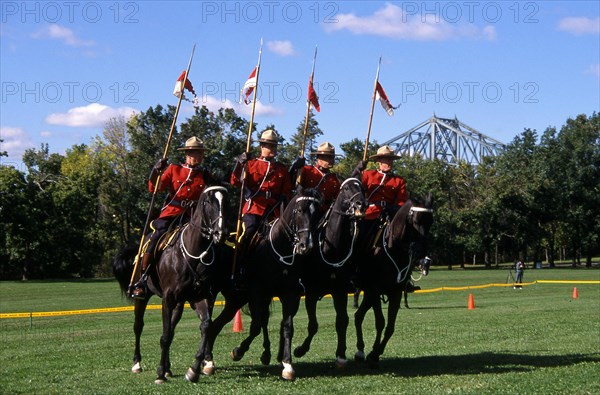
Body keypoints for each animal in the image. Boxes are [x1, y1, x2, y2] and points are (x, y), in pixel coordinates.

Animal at [113, 187, 231, 386]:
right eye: (208, 202)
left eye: (226, 202)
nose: (220, 233)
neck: (192, 253)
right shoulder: (168, 298)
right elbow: (165, 336)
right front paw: (160, 374)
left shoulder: (200, 296)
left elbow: (205, 326)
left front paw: (194, 370)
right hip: (142, 296)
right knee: (139, 326)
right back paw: (137, 363)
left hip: (179, 303)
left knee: (172, 328)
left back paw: (168, 368)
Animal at [190, 189, 326, 384]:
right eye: (300, 211)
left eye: (317, 214)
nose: (305, 245)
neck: (279, 248)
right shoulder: (258, 293)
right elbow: (255, 326)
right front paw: (238, 351)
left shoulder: (289, 294)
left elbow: (287, 327)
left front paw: (287, 365)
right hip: (213, 293)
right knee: (209, 323)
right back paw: (208, 361)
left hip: (235, 299)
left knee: (216, 325)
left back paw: (208, 361)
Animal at [292, 177, 364, 368]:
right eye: (346, 188)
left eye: (362, 187)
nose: (361, 204)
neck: (331, 247)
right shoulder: (310, 293)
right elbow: (313, 325)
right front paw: (300, 350)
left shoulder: (340, 291)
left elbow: (342, 321)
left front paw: (341, 354)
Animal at [354, 193, 434, 370]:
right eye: (416, 221)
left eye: (431, 221)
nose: (423, 252)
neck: (393, 248)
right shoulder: (375, 290)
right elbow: (380, 322)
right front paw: (373, 354)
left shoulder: (395, 292)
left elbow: (390, 327)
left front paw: (375, 353)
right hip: (369, 293)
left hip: (368, 295)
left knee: (358, 316)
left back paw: (360, 351)